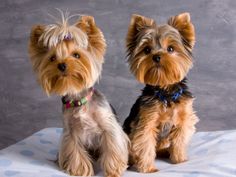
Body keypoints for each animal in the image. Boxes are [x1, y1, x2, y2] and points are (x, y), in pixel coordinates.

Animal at [29, 11, 129, 176]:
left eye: (76, 55)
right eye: (52, 58)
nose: (62, 65)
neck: (79, 99)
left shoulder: (109, 126)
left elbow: (112, 146)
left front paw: (114, 169)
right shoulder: (70, 133)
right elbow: (75, 152)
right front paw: (81, 170)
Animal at [123, 12, 199, 173]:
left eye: (170, 49)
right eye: (146, 50)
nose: (156, 56)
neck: (166, 91)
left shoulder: (183, 118)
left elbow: (179, 140)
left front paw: (180, 160)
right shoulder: (147, 121)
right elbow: (145, 143)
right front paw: (148, 169)